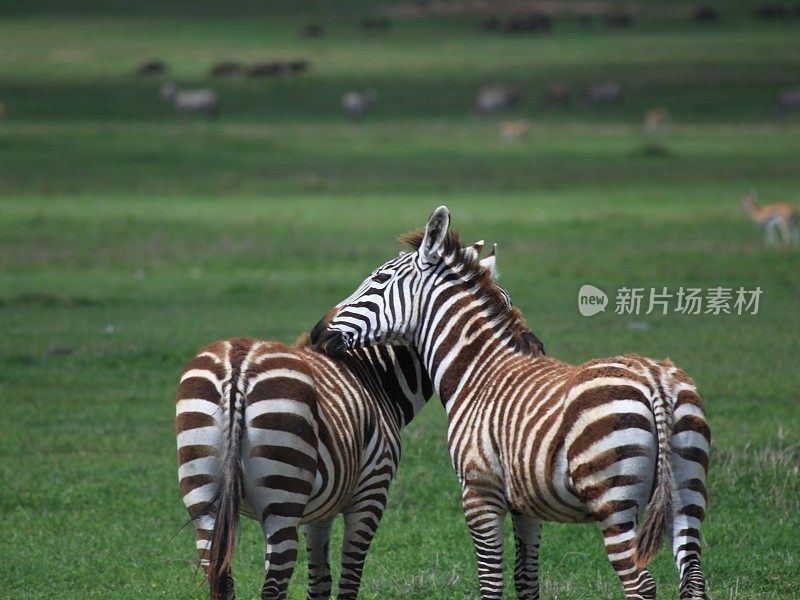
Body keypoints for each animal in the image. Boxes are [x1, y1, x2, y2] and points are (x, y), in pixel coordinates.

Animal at [178, 336, 434, 596]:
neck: (374, 377)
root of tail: (237, 364)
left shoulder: (320, 511)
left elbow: (320, 581)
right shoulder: (371, 492)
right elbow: (349, 578)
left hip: (204, 497)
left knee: (221, 579)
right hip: (282, 499)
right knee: (272, 587)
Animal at [310, 207, 712, 600]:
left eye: (377, 280)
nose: (316, 333)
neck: (477, 371)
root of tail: (653, 379)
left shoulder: (479, 490)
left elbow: (491, 580)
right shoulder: (525, 502)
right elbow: (525, 579)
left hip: (613, 499)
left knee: (640, 583)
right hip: (687, 490)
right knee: (692, 579)